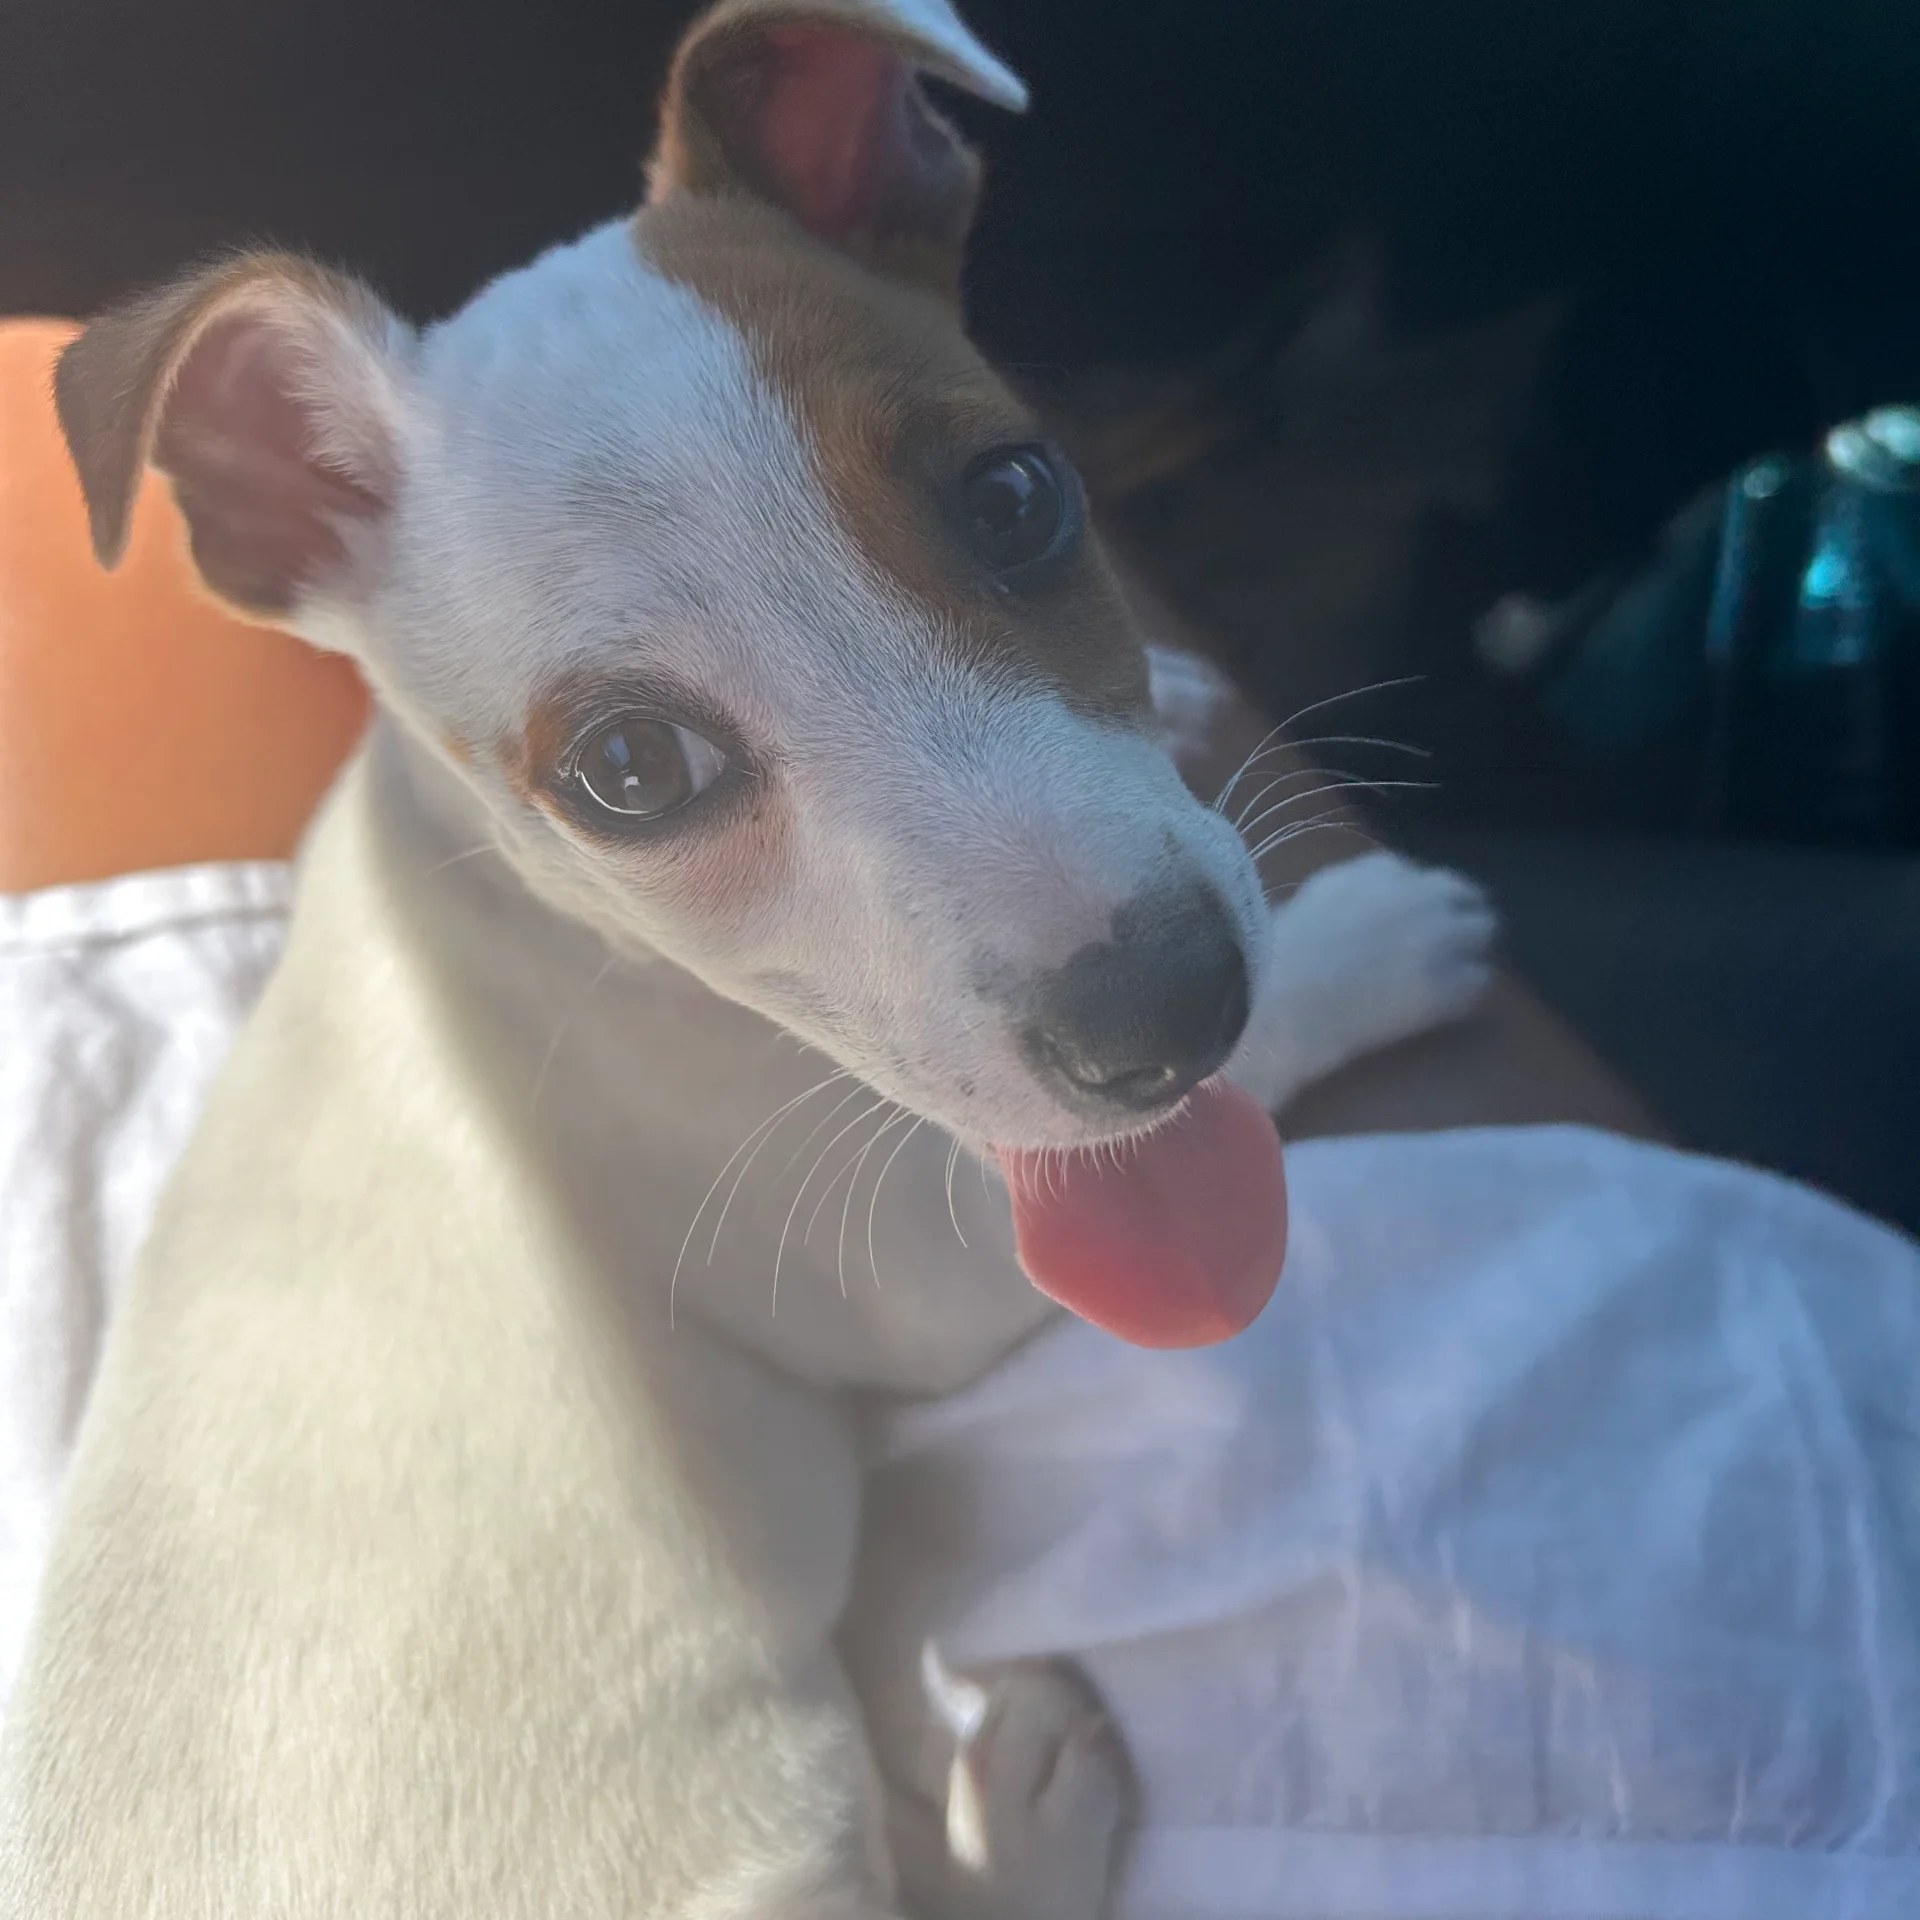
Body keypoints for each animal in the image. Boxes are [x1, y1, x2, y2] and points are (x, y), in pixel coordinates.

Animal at [0, 2, 1495, 1912]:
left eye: (1018, 495)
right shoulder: (932, 1271)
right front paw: (1370, 943)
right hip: (778, 1828)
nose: (1167, 1008)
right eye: (632, 771)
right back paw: (1036, 1809)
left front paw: (1167, 692)